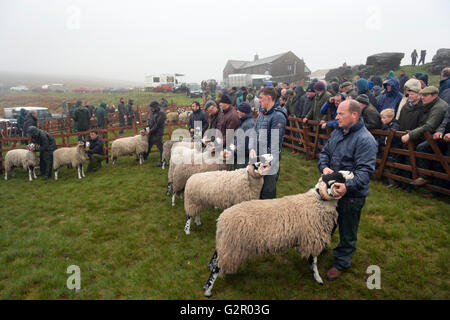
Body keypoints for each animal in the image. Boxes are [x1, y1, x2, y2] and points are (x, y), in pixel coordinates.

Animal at [204, 170, 356, 298]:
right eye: (339, 177)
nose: (351, 172)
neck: (317, 201)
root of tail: (221, 220)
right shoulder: (312, 237)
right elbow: (314, 261)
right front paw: (318, 278)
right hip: (232, 246)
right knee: (216, 269)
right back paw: (207, 290)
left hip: (226, 244)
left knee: (216, 257)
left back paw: (209, 267)